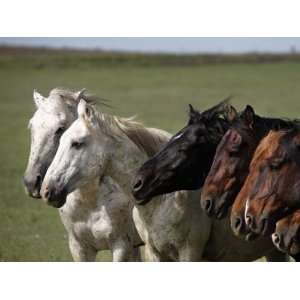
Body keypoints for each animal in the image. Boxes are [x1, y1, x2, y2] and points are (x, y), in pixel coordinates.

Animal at [24, 88, 168, 260]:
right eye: (31, 127)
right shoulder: (79, 247)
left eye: (60, 128)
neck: (89, 202)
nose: (31, 182)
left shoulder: (121, 246)